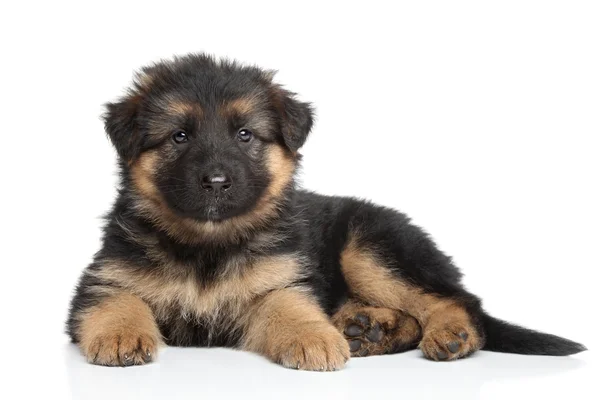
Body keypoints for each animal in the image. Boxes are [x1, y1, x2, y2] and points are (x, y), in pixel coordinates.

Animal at [67, 53, 584, 368]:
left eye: (244, 135)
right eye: (179, 136)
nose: (215, 181)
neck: (209, 245)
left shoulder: (281, 282)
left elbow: (290, 308)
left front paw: (311, 337)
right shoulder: (103, 281)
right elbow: (118, 301)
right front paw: (120, 335)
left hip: (370, 246)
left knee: (459, 301)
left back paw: (446, 334)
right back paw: (369, 329)